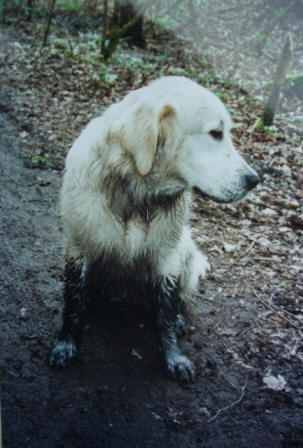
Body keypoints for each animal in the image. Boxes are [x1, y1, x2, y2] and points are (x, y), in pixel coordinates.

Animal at [50, 77, 262, 382]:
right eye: (215, 133)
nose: (255, 179)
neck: (136, 194)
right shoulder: (78, 247)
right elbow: (74, 300)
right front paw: (66, 342)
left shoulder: (168, 257)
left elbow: (167, 310)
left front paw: (174, 356)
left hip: (187, 255)